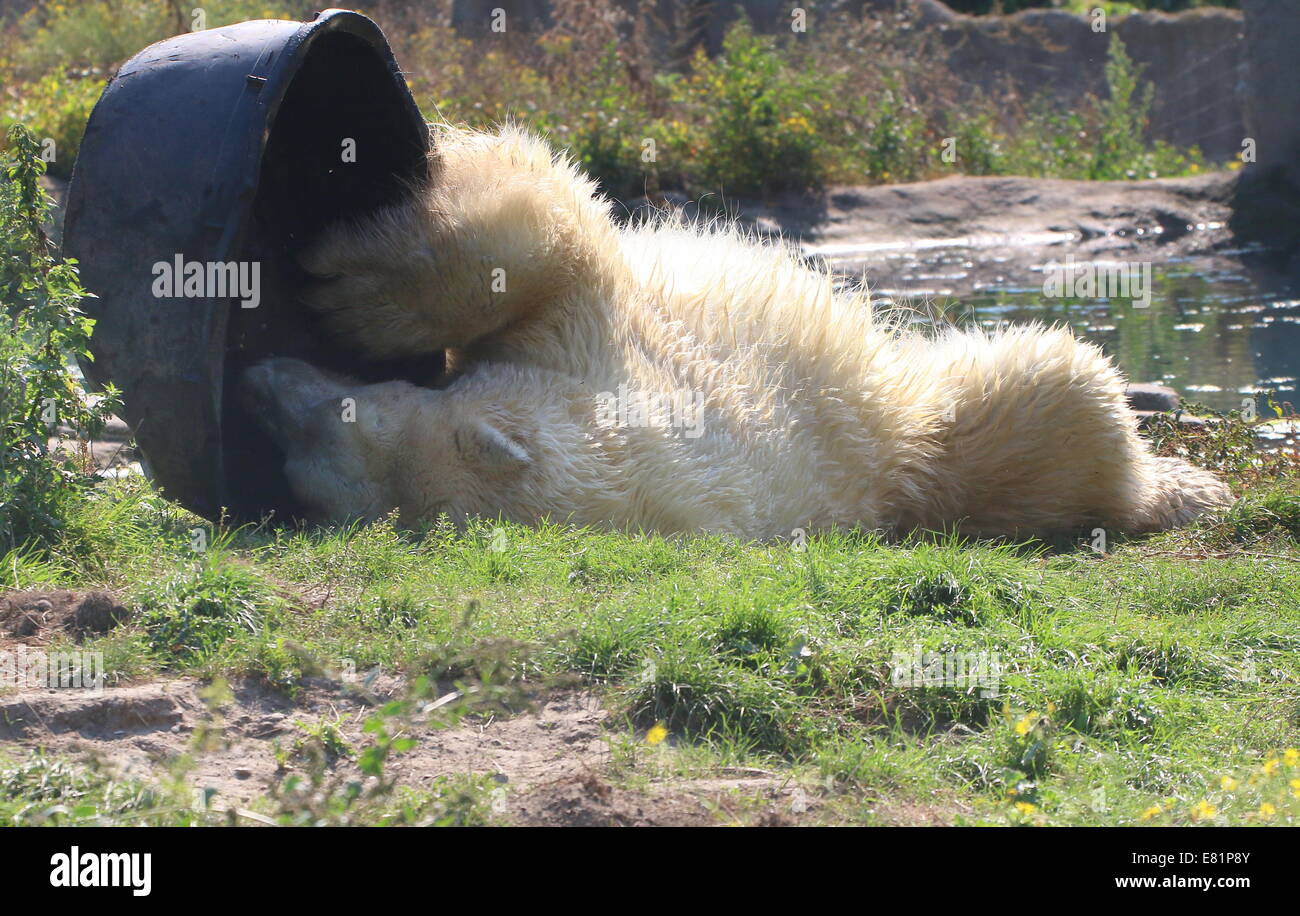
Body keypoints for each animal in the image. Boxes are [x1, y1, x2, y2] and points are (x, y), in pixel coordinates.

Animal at [241, 120, 1227, 535]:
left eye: (347, 420)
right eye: (308, 489)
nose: (263, 387)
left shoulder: (604, 345)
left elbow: (552, 228)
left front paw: (343, 278)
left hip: (919, 430)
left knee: (1051, 395)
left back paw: (1178, 480)